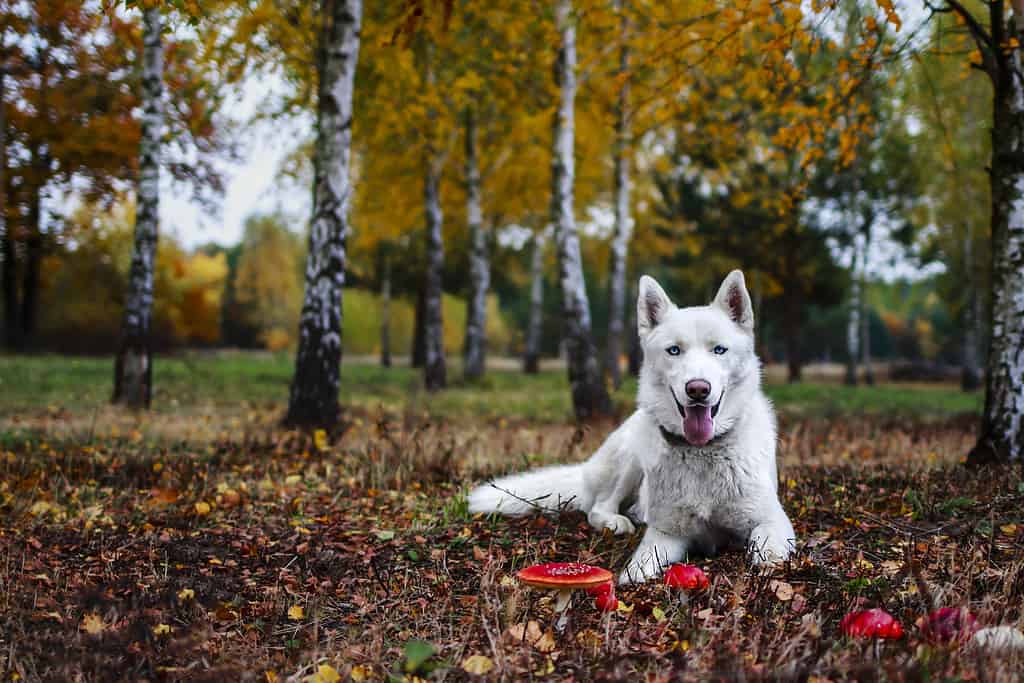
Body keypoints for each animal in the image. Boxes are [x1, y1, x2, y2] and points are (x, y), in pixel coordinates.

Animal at [468, 270, 794, 585]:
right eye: (674, 351)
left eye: (719, 350)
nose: (698, 389)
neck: (703, 453)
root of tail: (585, 471)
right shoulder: (667, 533)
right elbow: (639, 564)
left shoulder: (774, 521)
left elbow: (767, 551)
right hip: (630, 457)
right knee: (598, 507)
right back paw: (618, 521)